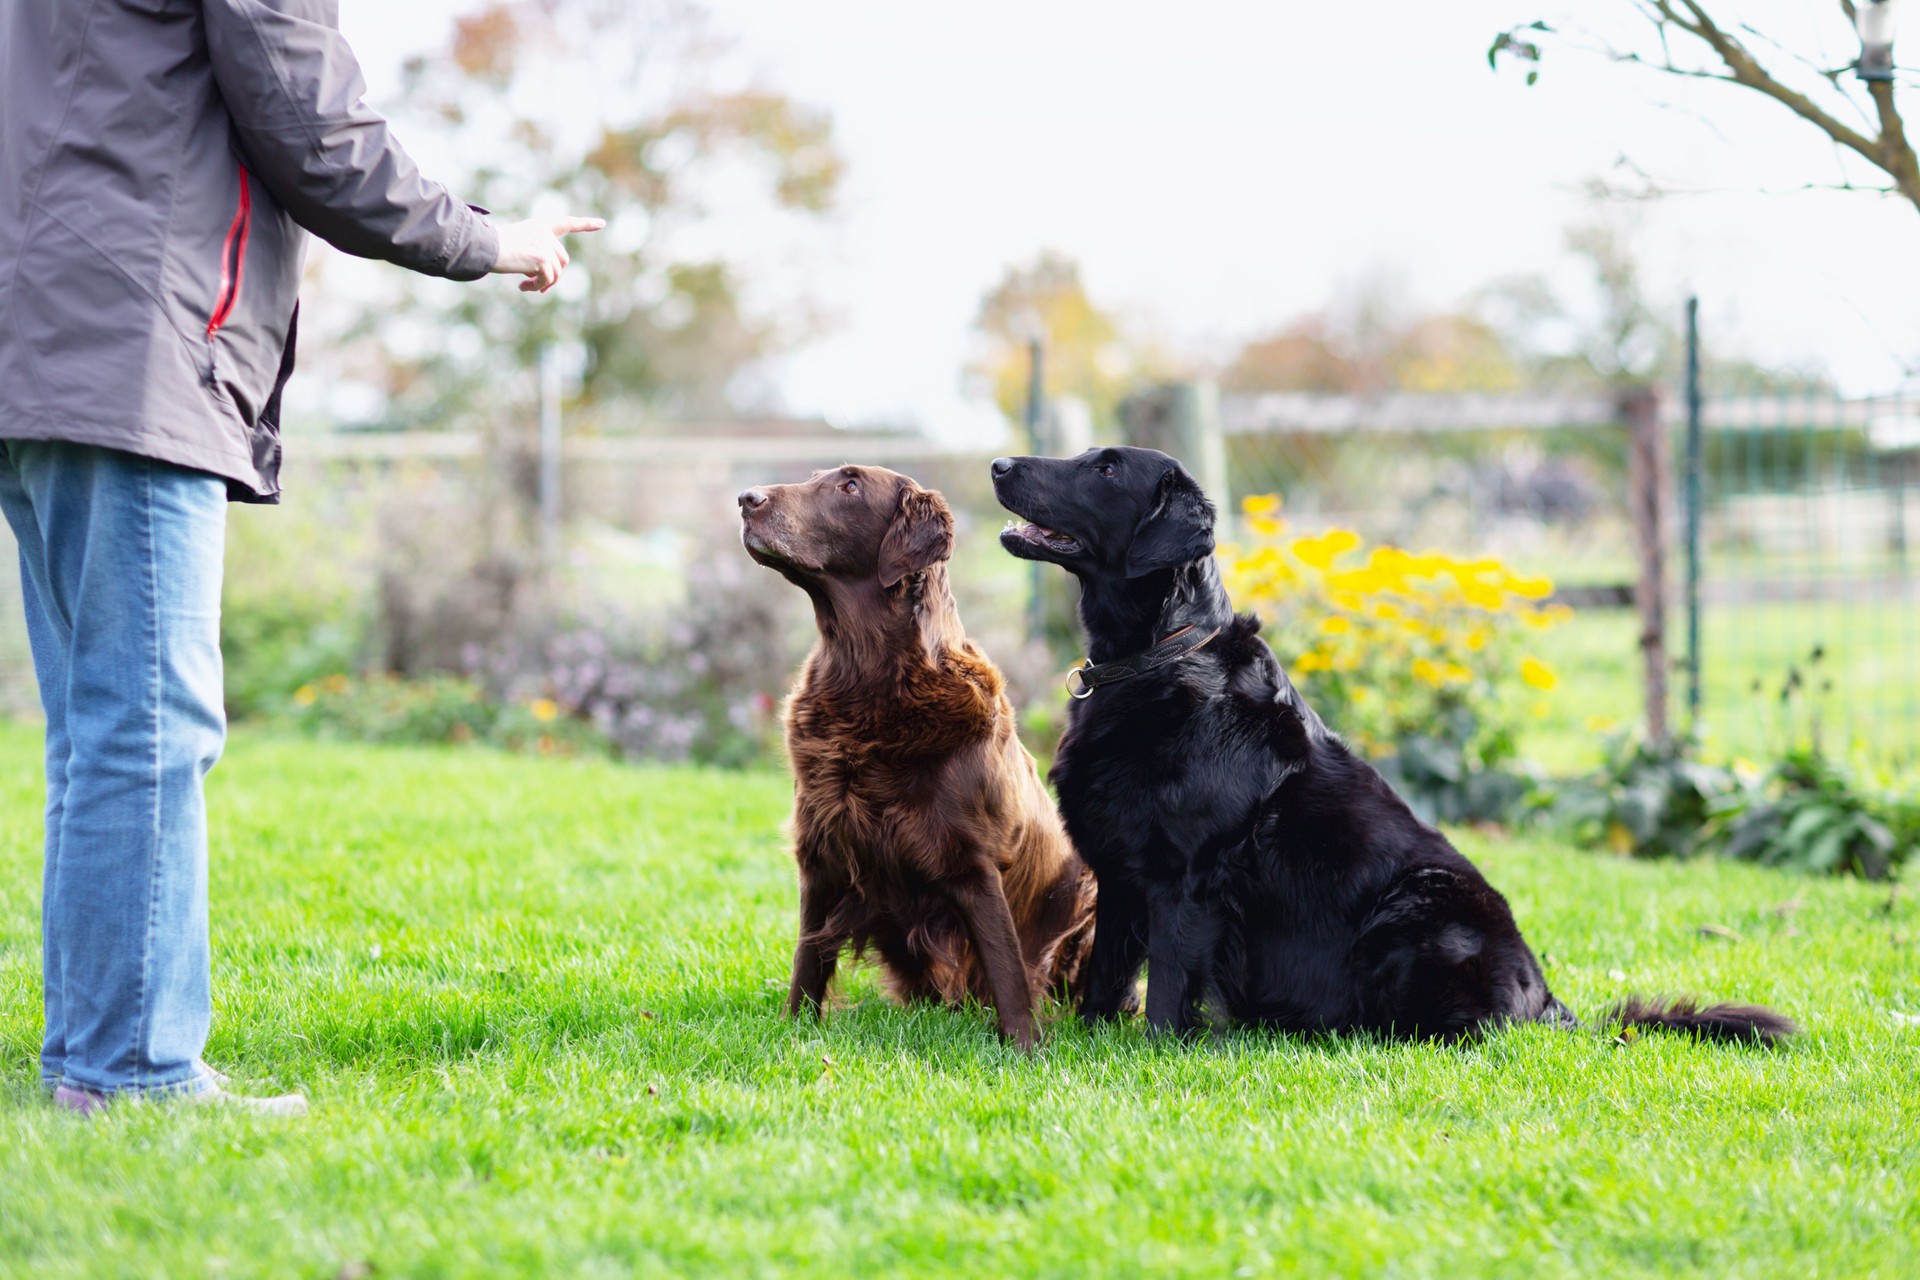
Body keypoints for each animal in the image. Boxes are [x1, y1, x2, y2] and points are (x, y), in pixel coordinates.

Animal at [737, 466, 1098, 1043]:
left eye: (850, 487)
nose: (746, 499)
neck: (867, 678)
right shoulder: (819, 854)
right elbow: (807, 962)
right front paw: (794, 1031)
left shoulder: (973, 861)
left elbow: (1006, 967)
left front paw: (1025, 1048)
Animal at [998, 445, 1789, 1043]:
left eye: (1105, 469)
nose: (1000, 463)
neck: (1161, 658)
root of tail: (1549, 1002)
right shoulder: (1121, 875)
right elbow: (1103, 979)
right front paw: (1086, 1041)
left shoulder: (1185, 878)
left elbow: (1166, 992)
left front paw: (1150, 1055)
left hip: (1421, 904)